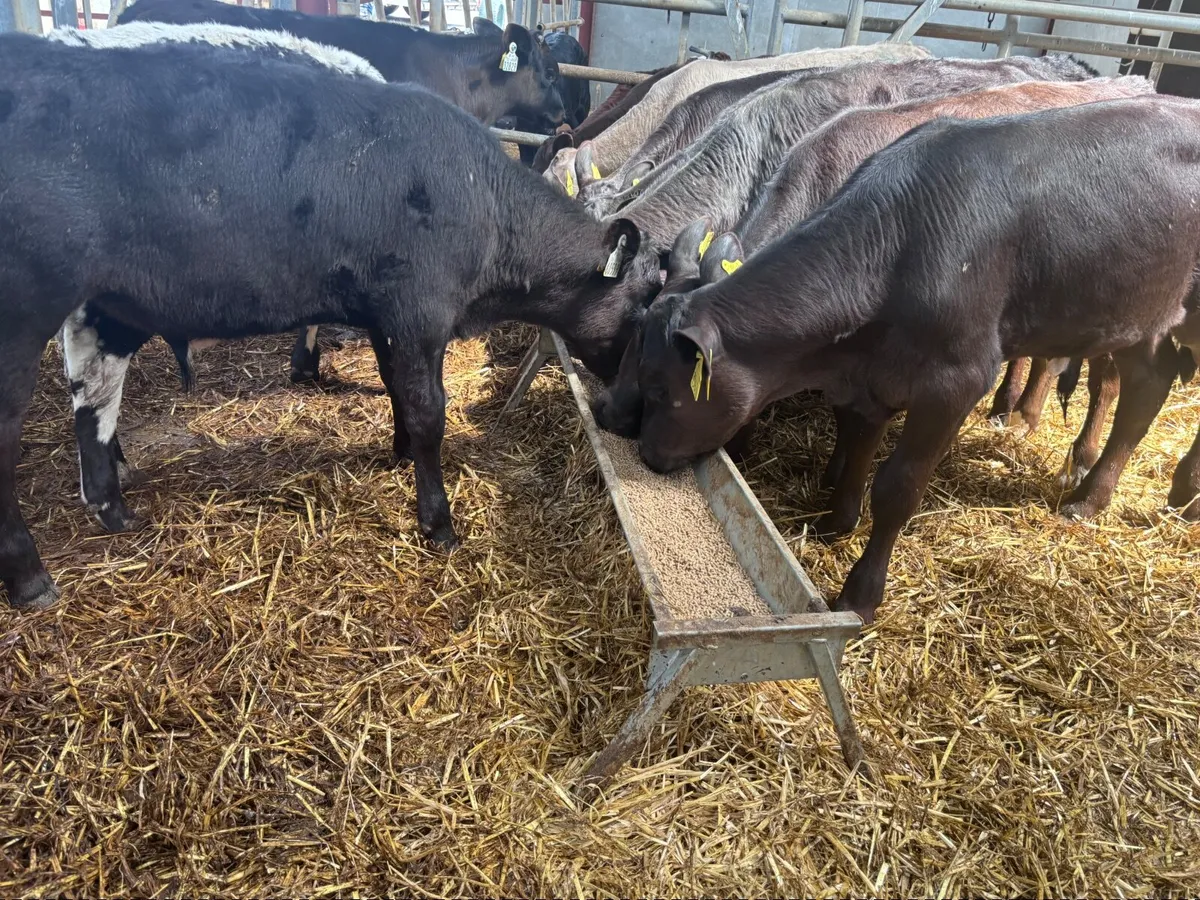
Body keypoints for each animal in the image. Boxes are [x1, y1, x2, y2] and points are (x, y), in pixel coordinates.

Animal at [0, 33, 661, 610]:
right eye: (647, 300)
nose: (625, 413)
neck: (483, 200)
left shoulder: (383, 312)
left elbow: (396, 387)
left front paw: (398, 452)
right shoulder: (420, 312)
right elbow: (429, 412)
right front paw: (438, 519)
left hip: (104, 306)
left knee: (94, 400)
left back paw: (112, 505)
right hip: (19, 323)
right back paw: (31, 579)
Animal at [592, 97, 1200, 624]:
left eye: (660, 384)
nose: (640, 448)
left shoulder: (955, 382)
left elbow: (897, 487)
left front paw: (860, 596)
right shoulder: (870, 376)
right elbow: (859, 444)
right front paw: (837, 520)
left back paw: (1116, 494)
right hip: (1138, 313)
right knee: (1147, 386)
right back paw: (1115, 494)